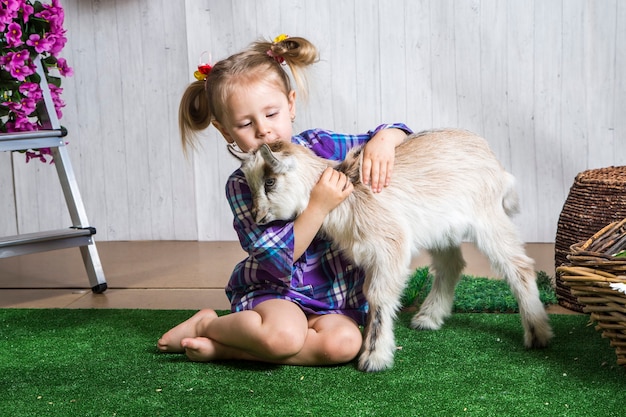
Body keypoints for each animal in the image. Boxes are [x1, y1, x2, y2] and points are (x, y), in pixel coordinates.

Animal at [228, 129, 552, 370]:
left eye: (270, 181)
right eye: (250, 185)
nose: (257, 217)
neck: (348, 190)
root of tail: (495, 161)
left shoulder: (390, 245)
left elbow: (378, 295)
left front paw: (373, 358)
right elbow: (371, 295)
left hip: (487, 217)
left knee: (518, 265)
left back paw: (538, 334)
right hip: (441, 231)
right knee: (451, 264)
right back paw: (428, 318)